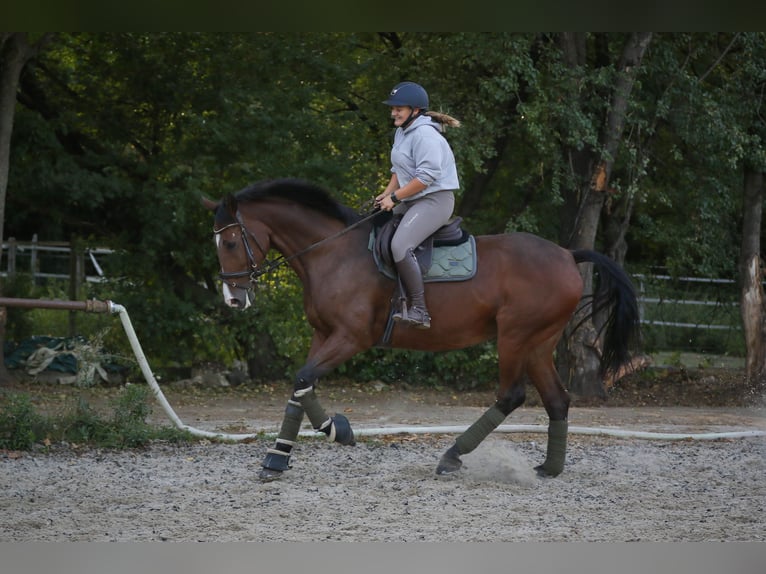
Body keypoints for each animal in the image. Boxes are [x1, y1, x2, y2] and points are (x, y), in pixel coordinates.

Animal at [203, 178, 640, 481]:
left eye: (230, 243)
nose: (232, 299)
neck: (331, 252)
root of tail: (567, 254)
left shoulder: (350, 338)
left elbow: (303, 378)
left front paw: (337, 431)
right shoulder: (322, 335)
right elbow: (301, 384)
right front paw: (278, 459)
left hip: (516, 338)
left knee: (512, 395)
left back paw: (452, 456)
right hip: (537, 343)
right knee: (556, 401)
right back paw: (549, 468)